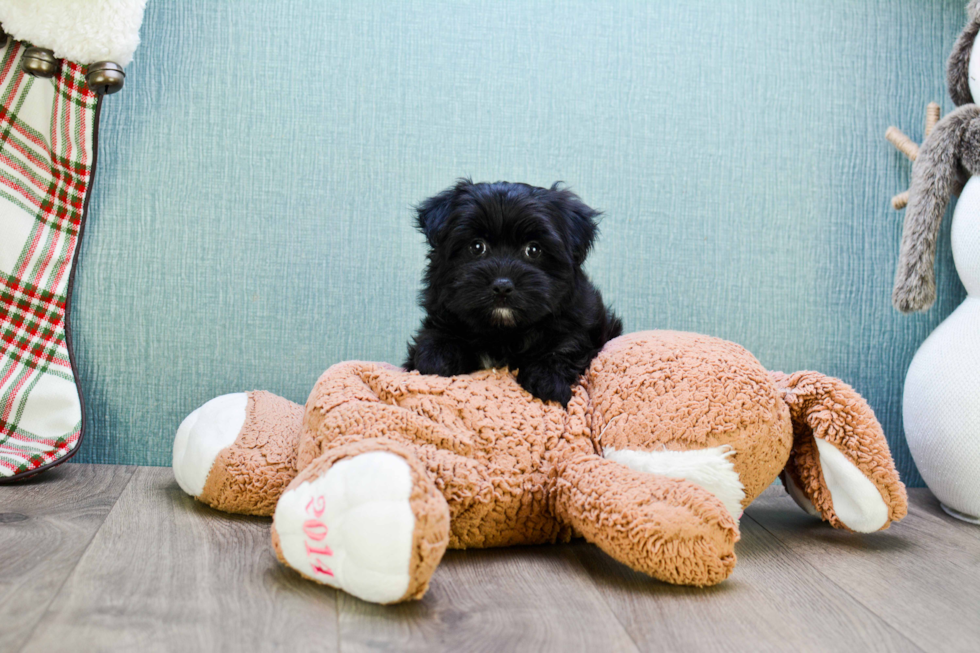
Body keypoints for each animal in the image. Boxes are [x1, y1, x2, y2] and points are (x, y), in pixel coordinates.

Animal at [404, 177, 620, 402]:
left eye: (533, 249)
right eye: (477, 247)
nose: (502, 286)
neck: (504, 332)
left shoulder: (580, 322)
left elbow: (568, 345)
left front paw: (548, 379)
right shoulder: (442, 313)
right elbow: (435, 334)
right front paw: (436, 358)